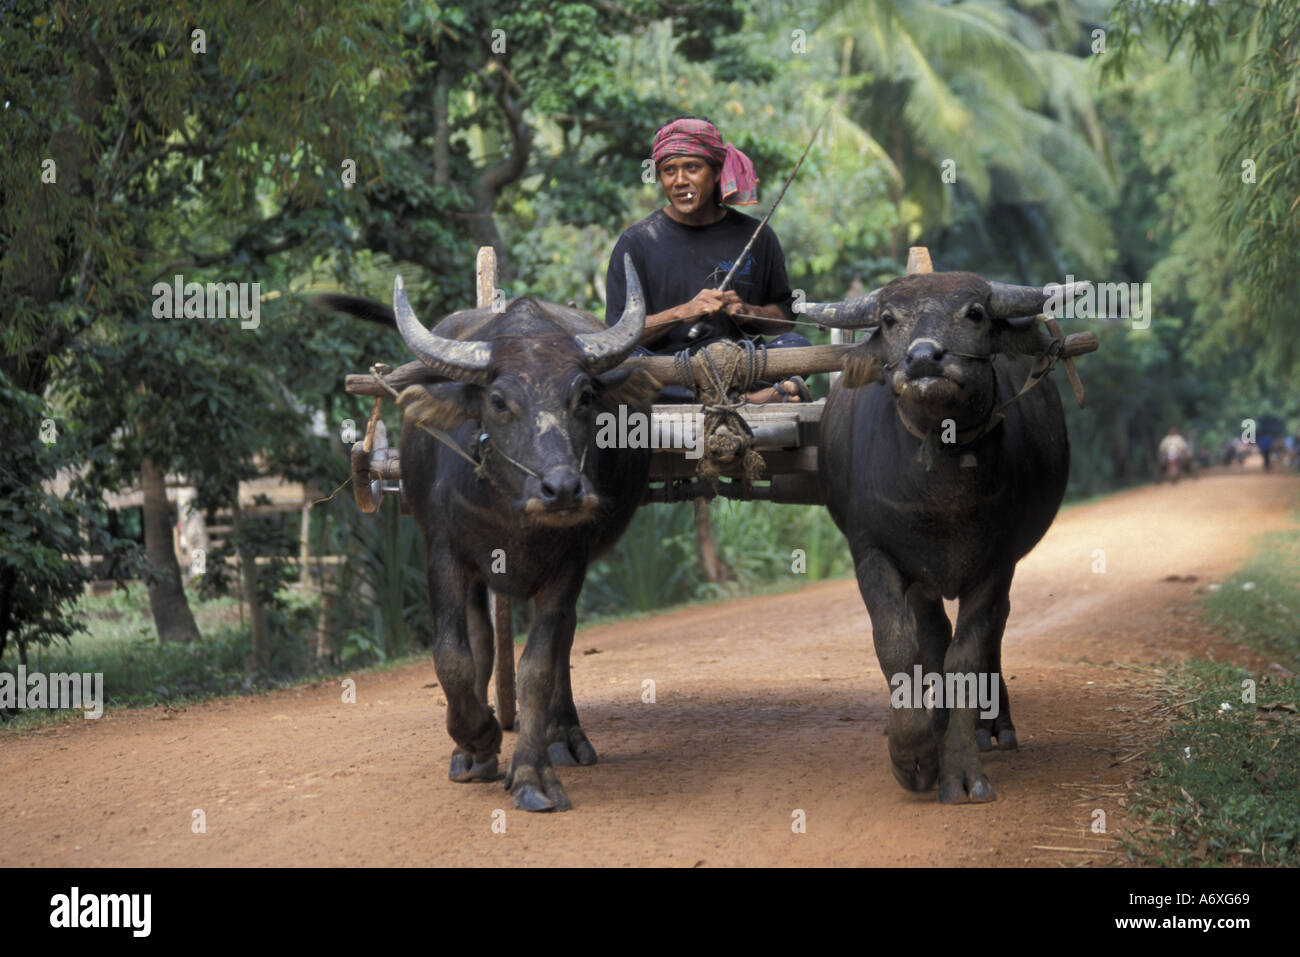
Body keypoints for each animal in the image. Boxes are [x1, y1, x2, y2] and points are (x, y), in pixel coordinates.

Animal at [315, 257, 660, 811]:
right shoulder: (444, 556)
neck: (511, 505)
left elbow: (538, 666)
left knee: (562, 640)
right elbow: (451, 656)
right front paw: (478, 737)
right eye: (499, 401)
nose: (562, 489)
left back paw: (565, 735)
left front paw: (532, 775)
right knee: (479, 637)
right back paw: (475, 749)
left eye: (585, 396)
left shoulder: (569, 565)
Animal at [806, 273, 1071, 806]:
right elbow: (897, 644)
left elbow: (966, 658)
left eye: (975, 313)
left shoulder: (996, 564)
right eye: (889, 320)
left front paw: (962, 768)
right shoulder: (873, 554)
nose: (924, 358)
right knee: (930, 637)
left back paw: (993, 725)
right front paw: (913, 754)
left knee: (990, 635)